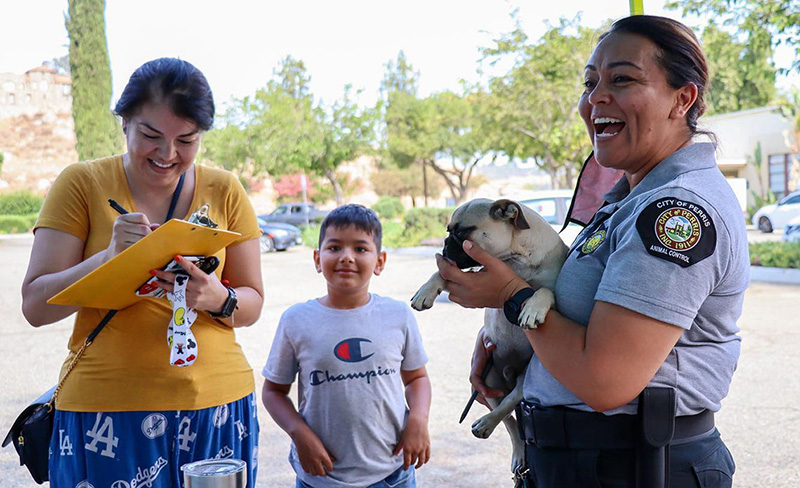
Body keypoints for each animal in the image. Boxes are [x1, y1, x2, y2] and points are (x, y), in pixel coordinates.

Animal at [412, 197, 568, 472]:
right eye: (448, 231)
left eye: (463, 232)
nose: (445, 245)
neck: (515, 259)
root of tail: (510, 375)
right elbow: (442, 272)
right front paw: (426, 290)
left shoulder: (554, 296)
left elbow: (544, 292)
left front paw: (534, 308)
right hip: (488, 382)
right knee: (511, 424)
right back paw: (506, 443)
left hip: (522, 382)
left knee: (508, 406)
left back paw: (486, 423)